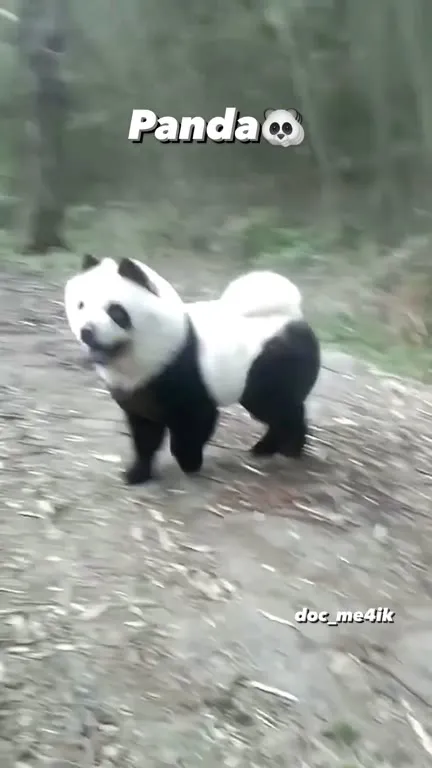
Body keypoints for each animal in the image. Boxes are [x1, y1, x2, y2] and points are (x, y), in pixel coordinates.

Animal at [64, 253, 320, 485]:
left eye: (115, 311)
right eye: (81, 305)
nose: (87, 331)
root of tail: (292, 316)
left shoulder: (180, 368)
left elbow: (196, 419)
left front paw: (189, 461)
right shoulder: (137, 393)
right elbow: (144, 434)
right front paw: (137, 473)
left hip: (271, 362)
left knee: (278, 407)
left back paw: (290, 448)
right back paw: (266, 448)